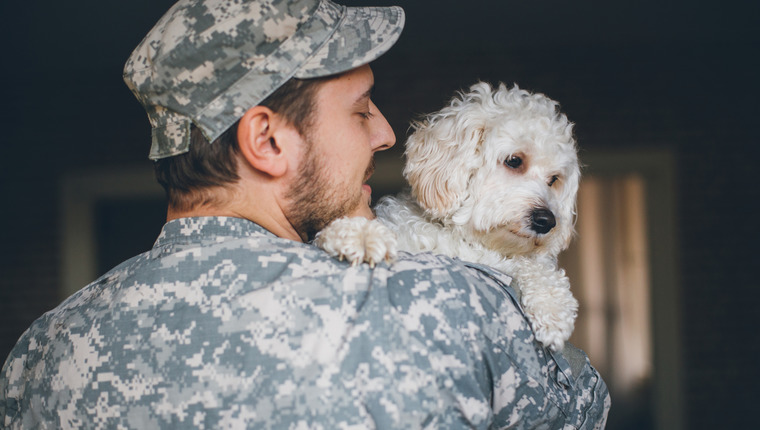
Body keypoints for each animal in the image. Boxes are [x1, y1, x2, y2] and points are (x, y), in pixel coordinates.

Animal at [314, 82, 580, 352]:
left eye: (554, 179)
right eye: (514, 161)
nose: (547, 221)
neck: (465, 240)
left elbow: (536, 266)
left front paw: (553, 307)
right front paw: (359, 235)